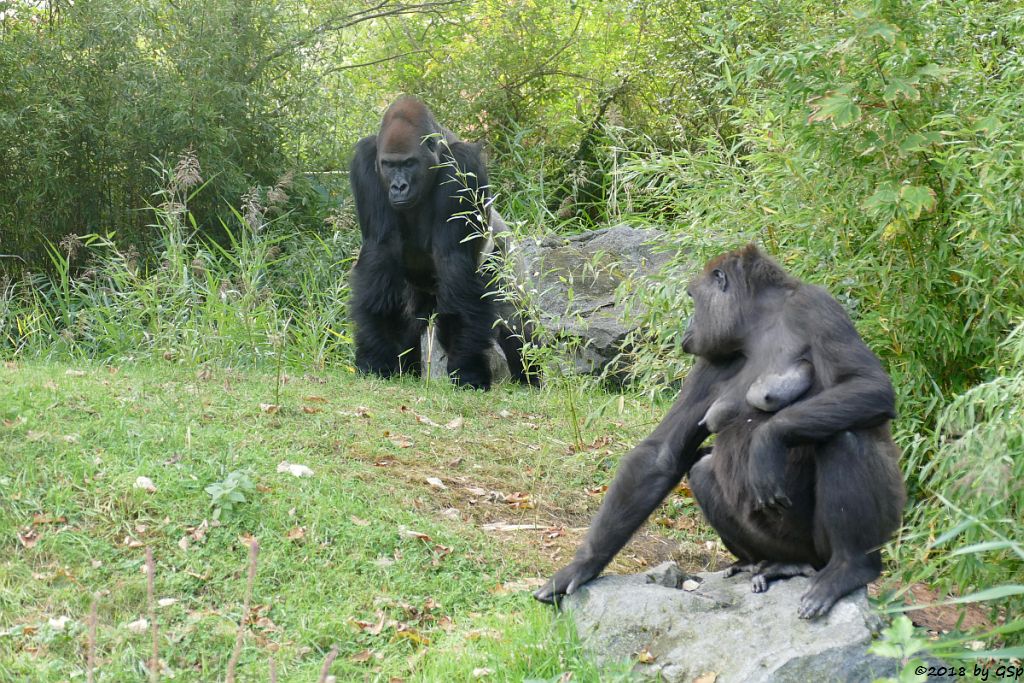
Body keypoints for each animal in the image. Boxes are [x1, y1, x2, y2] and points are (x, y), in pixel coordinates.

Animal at [348, 98, 532, 393]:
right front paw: (375, 357)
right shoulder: (366, 163)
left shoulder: (463, 166)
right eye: (388, 165)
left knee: (515, 325)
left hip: (504, 255)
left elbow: (453, 259)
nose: (398, 186)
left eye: (409, 163)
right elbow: (380, 252)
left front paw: (468, 370)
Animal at [536, 245, 905, 618]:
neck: (759, 326)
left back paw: (850, 567)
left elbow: (868, 386)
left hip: (829, 549)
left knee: (847, 435)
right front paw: (584, 564)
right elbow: (662, 455)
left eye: (692, 298)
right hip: (783, 546)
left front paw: (767, 442)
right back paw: (764, 563)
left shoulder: (816, 305)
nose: (688, 326)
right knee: (702, 469)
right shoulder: (713, 358)